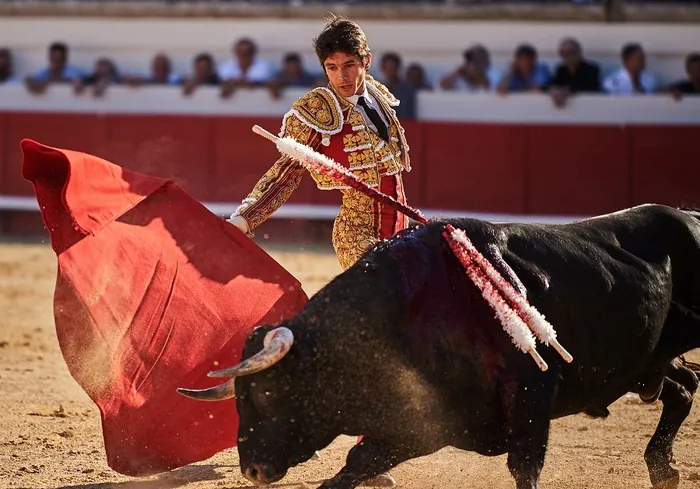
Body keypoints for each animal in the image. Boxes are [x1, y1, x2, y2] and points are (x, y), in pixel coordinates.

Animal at [179, 204, 700, 486]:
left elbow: (525, 468)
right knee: (683, 386)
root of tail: (687, 215)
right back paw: (663, 472)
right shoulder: (425, 422)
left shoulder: (532, 393)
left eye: (269, 393)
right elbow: (354, 465)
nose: (252, 470)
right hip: (645, 363)